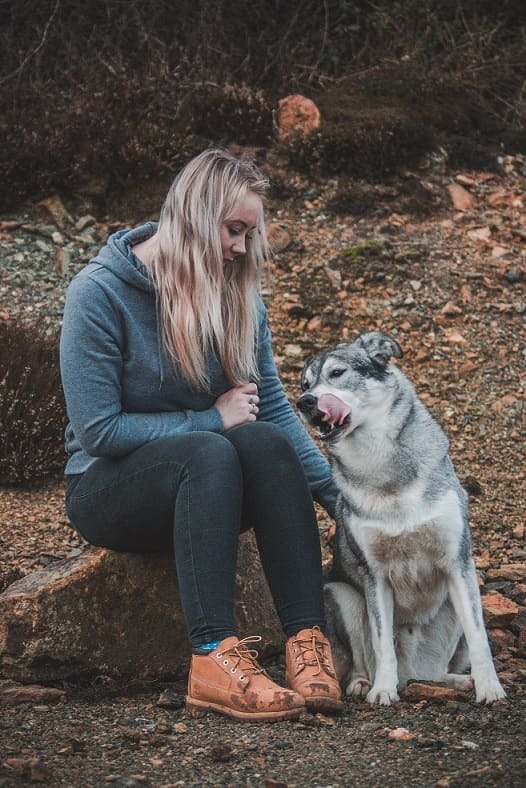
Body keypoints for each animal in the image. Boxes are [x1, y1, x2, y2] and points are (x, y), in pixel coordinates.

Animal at [296, 330, 508, 704]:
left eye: (337, 373)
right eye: (305, 384)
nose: (305, 402)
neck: (384, 470)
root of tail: (412, 673)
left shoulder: (458, 564)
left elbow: (480, 639)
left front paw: (489, 688)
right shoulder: (375, 577)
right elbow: (382, 644)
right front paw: (382, 690)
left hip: (459, 600)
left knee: (437, 670)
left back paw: (459, 681)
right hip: (343, 596)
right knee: (362, 661)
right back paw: (365, 684)